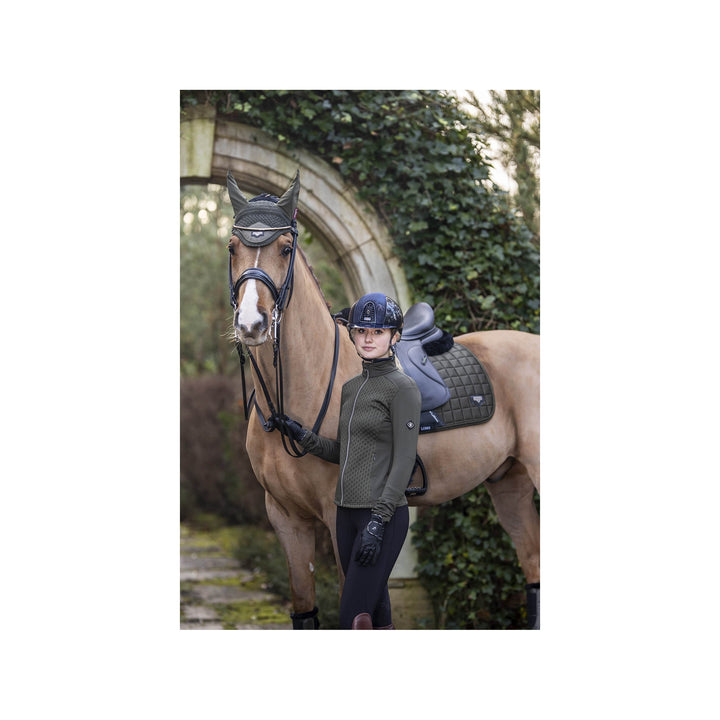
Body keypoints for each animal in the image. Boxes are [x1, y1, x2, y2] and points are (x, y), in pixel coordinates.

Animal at [225, 170, 540, 629]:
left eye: (284, 248)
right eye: (233, 246)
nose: (252, 323)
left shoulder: (340, 521)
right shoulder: (286, 519)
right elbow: (306, 610)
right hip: (510, 482)